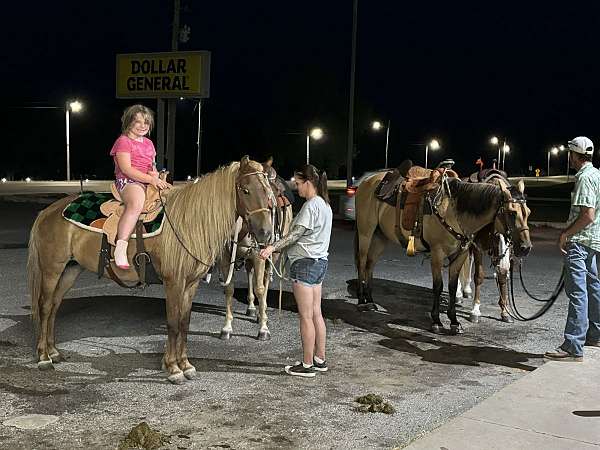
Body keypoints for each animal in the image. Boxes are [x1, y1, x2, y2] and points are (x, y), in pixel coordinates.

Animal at [27, 156, 274, 384]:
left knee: (55, 306)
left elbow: (184, 322)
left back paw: (54, 352)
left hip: (70, 270)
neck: (189, 223)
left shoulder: (190, 284)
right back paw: (44, 357)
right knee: (45, 306)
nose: (266, 234)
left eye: (268, 191)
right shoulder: (174, 283)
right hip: (52, 269)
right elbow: (173, 323)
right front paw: (173, 368)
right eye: (245, 190)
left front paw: (185, 365)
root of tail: (48, 211)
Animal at [218, 173, 292, 342]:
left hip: (273, 254)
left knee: (264, 280)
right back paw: (252, 307)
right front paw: (227, 328)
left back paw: (261, 314)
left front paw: (263, 329)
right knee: (250, 273)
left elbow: (260, 288)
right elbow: (229, 289)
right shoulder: (226, 258)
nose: (265, 232)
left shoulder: (259, 256)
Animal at [354, 171, 532, 336]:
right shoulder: (437, 254)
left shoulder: (460, 254)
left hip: (380, 237)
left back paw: (370, 300)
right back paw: (362, 301)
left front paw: (454, 321)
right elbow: (438, 286)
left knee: (370, 264)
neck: (452, 211)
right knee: (362, 263)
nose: (526, 247)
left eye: (528, 212)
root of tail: (367, 181)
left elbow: (452, 287)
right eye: (511, 212)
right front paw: (436, 322)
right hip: (366, 233)